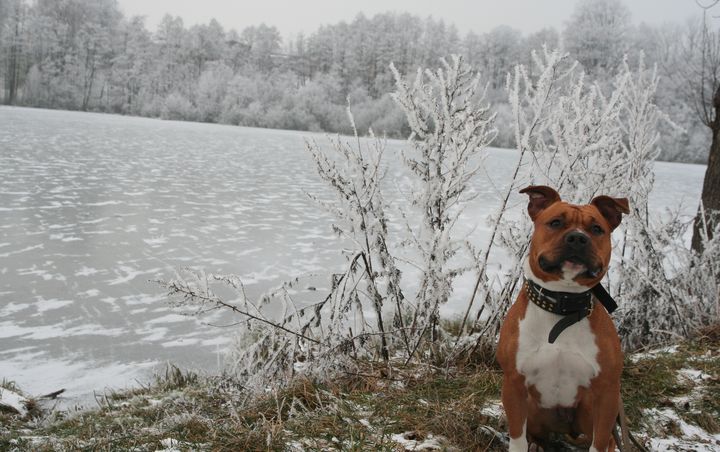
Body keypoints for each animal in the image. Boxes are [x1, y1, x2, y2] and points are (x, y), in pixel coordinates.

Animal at [496, 185, 632, 450]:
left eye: (597, 229)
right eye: (555, 222)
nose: (578, 238)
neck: (563, 306)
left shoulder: (608, 393)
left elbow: (600, 442)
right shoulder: (514, 385)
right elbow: (517, 438)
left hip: (589, 409)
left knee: (609, 438)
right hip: (533, 408)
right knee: (536, 433)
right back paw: (537, 444)